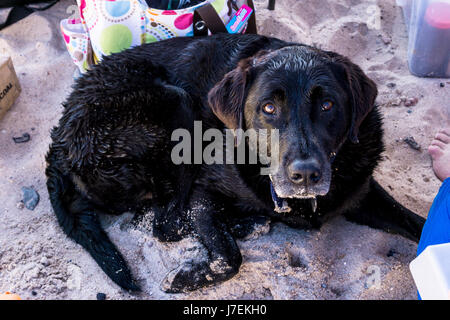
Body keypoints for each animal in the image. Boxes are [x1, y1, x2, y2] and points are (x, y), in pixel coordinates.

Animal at [45, 34, 426, 292]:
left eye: (327, 105)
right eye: (268, 108)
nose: (305, 175)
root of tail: (59, 141)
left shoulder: (361, 190)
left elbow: (417, 223)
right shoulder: (201, 192)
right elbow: (229, 257)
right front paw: (188, 277)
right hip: (175, 105)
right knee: (166, 224)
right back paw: (248, 223)